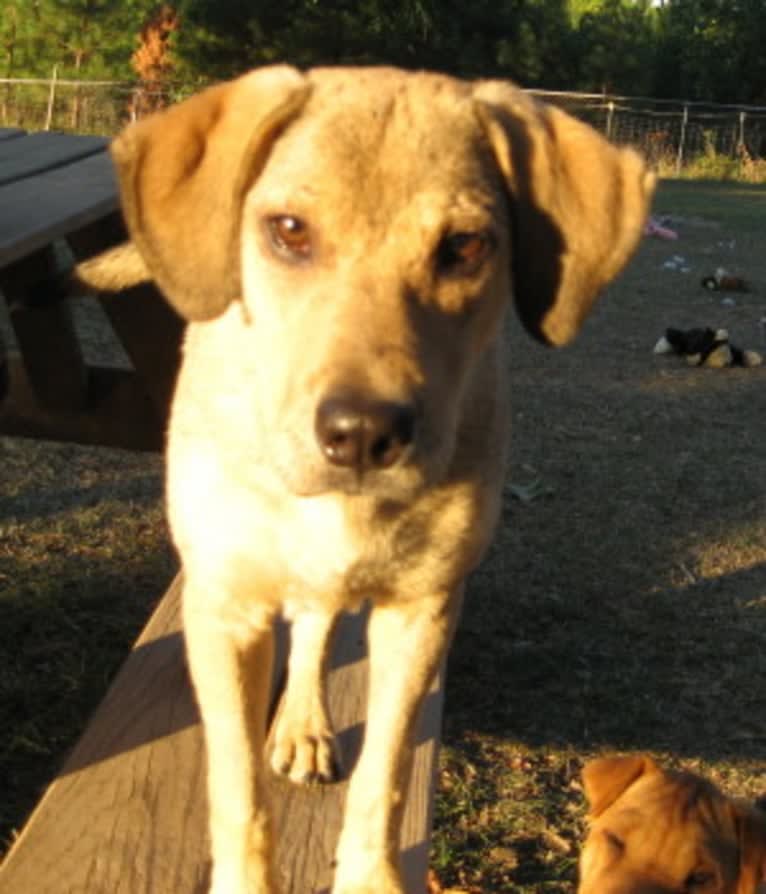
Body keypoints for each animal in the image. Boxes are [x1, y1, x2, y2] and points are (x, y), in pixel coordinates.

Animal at [100, 65, 656, 894]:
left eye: (464, 245)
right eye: (289, 230)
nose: (362, 434)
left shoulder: (421, 611)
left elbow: (384, 775)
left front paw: (369, 876)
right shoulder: (227, 610)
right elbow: (239, 792)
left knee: (318, 627)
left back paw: (304, 721)